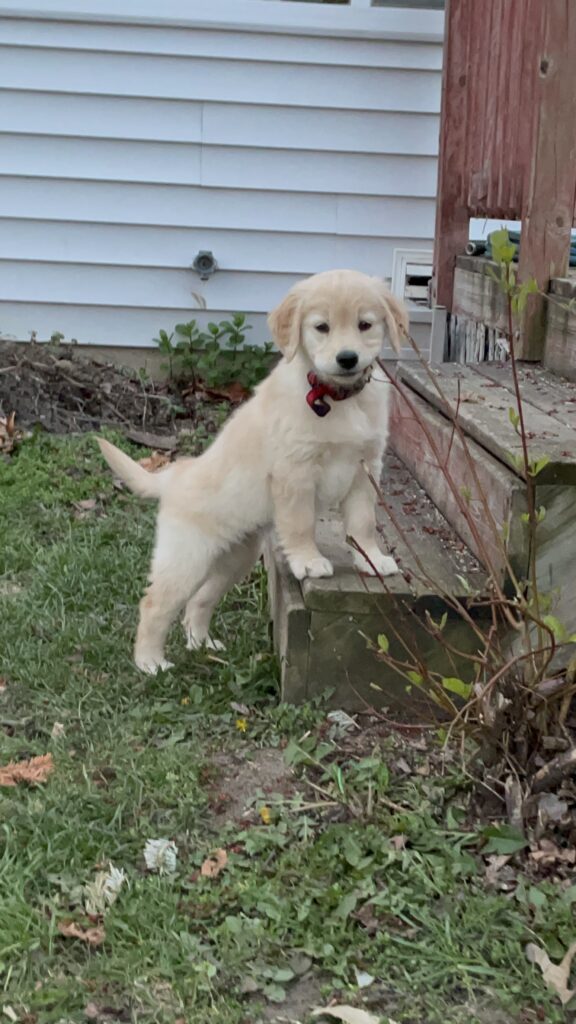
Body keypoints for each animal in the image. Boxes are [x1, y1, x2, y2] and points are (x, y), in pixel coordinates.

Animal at [97, 268, 403, 675]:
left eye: (365, 324)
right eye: (321, 327)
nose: (348, 358)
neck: (335, 398)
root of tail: (175, 474)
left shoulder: (365, 467)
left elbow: (364, 522)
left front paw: (372, 559)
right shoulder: (296, 472)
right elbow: (301, 523)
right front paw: (308, 561)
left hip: (234, 559)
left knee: (199, 601)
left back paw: (202, 644)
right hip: (187, 556)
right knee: (155, 604)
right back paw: (150, 662)